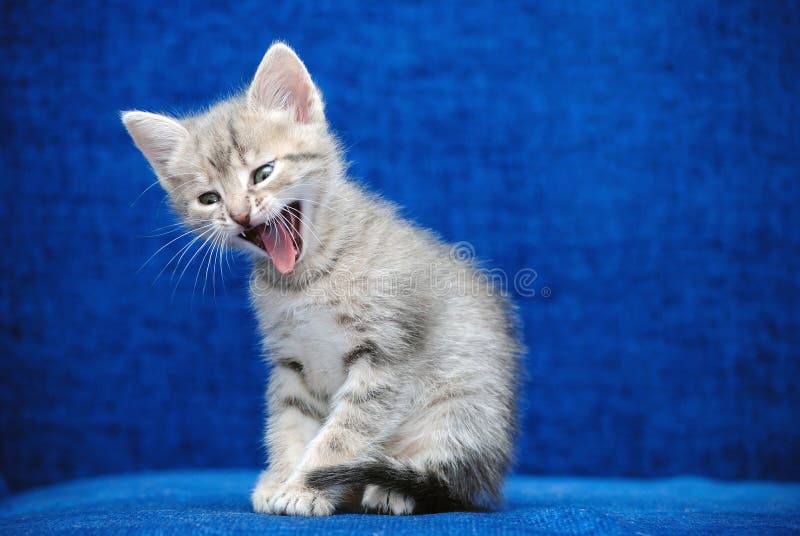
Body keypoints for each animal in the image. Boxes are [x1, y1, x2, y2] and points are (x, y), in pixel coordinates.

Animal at [122, 40, 520, 516]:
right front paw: (283, 479)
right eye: (208, 198)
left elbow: (343, 433)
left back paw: (395, 488)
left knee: (446, 474)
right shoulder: (292, 361)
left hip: (463, 401)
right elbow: (291, 423)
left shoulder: (385, 355)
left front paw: (306, 486)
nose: (239, 214)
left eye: (263, 172)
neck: (307, 281)